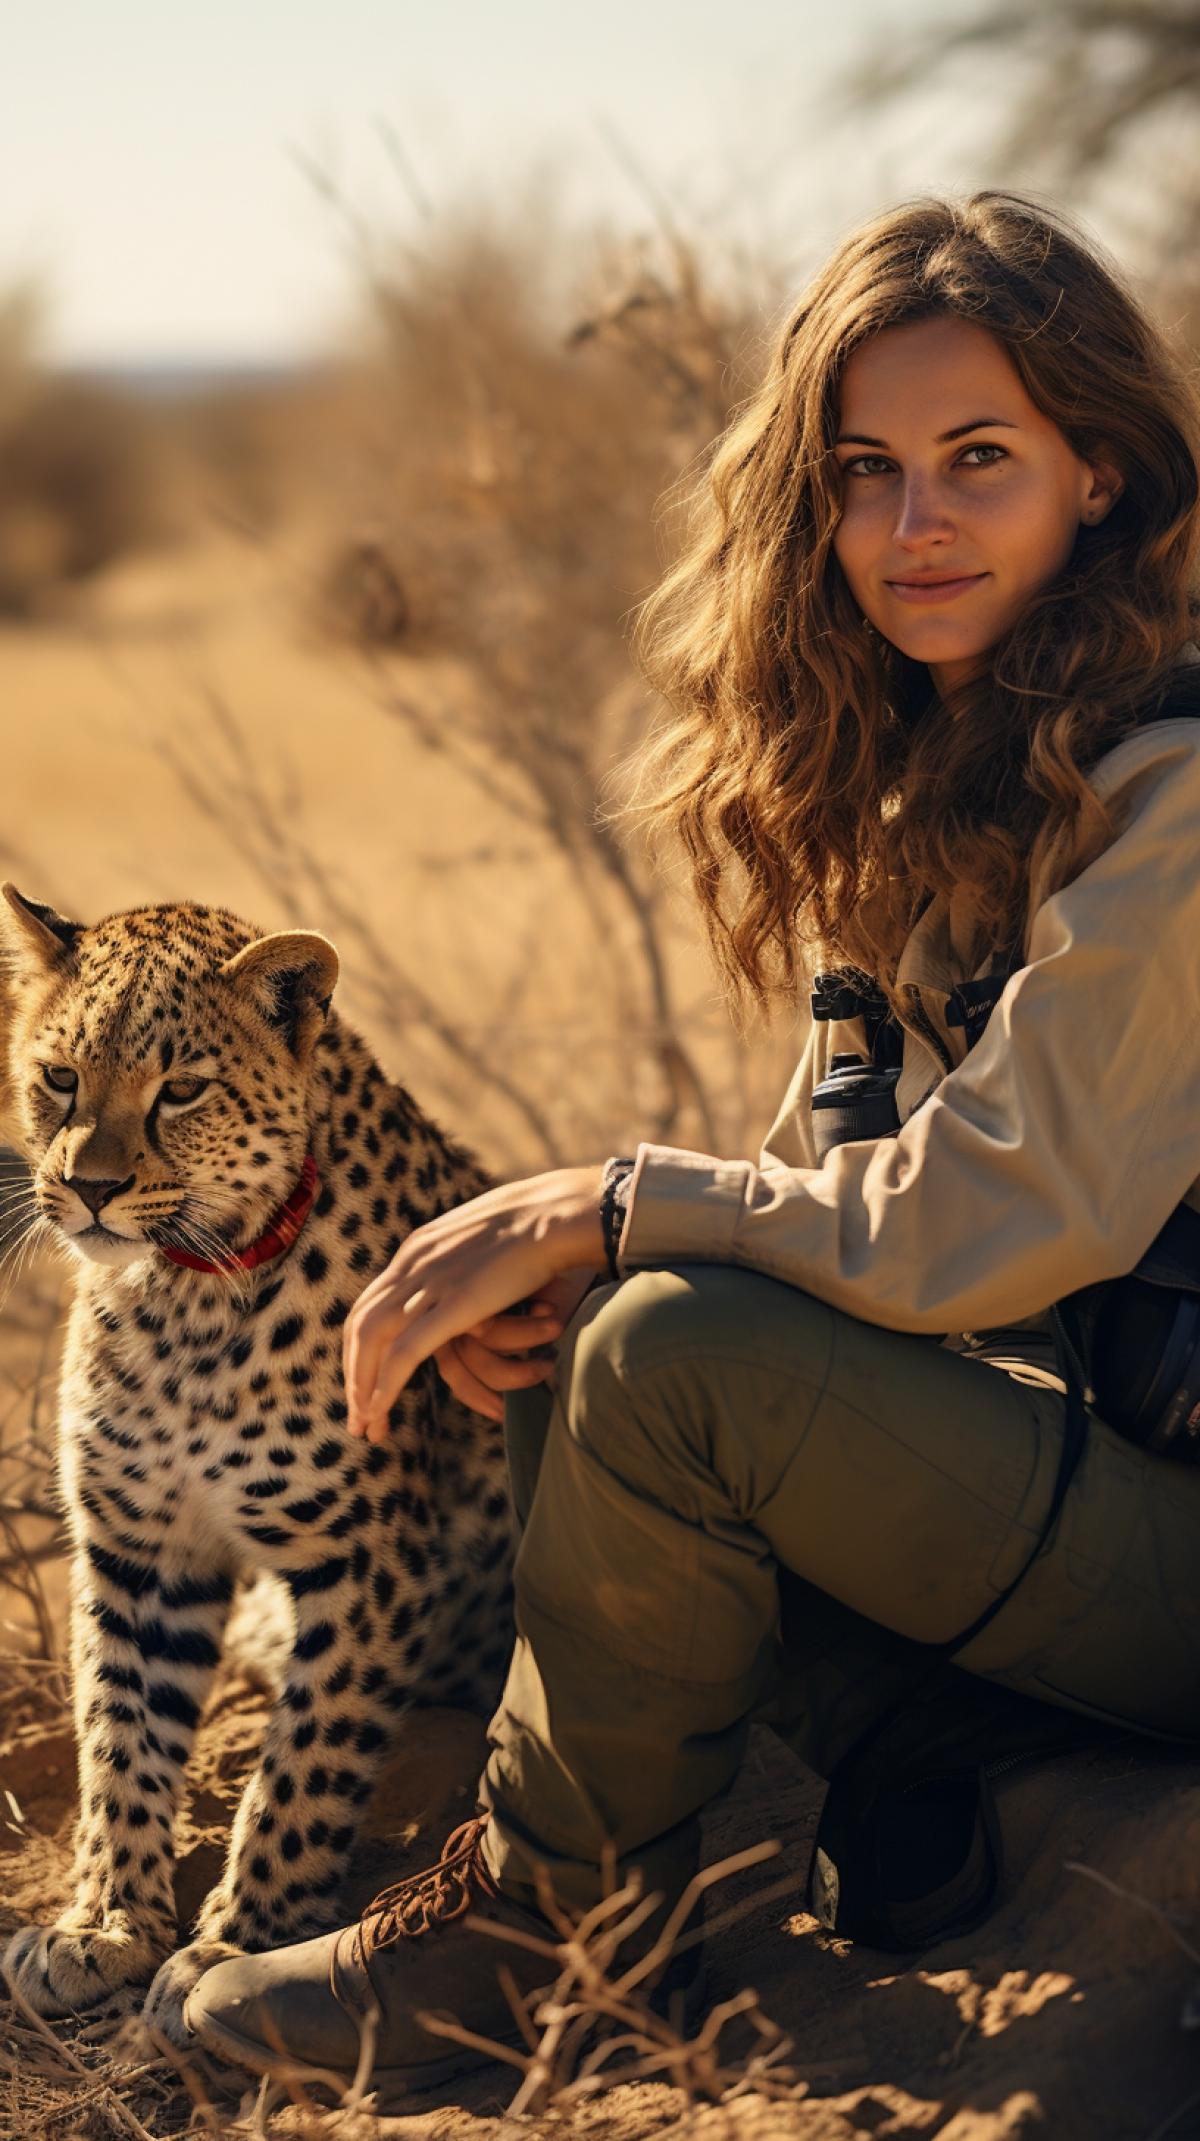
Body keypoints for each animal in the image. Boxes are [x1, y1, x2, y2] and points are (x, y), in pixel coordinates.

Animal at [0, 886, 519, 2045]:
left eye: (182, 1089)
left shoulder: (369, 1555)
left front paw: (238, 1943)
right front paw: (104, 1924)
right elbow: (119, 1734)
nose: (88, 1187)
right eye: (59, 1077)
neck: (181, 1300)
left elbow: (306, 1760)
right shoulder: (141, 1550)